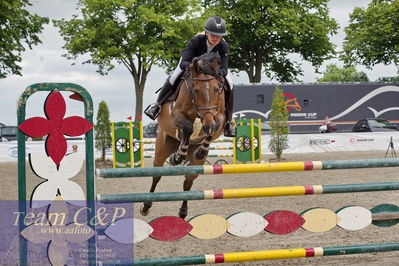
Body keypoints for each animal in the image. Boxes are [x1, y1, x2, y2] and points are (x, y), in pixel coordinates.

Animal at [141, 52, 228, 218]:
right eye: (195, 89)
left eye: (217, 88)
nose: (206, 124)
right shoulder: (175, 116)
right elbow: (187, 128)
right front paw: (177, 157)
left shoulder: (218, 115)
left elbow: (214, 127)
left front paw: (201, 150)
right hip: (161, 150)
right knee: (157, 176)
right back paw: (146, 206)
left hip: (197, 165)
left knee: (188, 182)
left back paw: (183, 211)